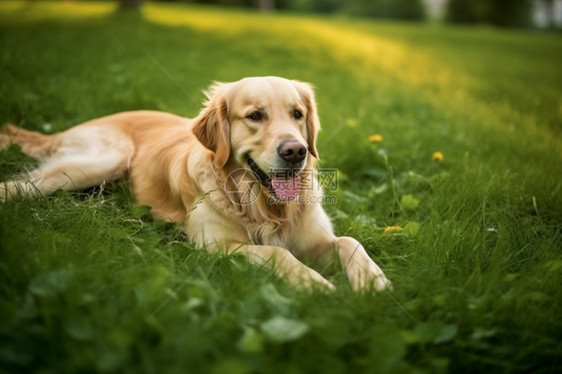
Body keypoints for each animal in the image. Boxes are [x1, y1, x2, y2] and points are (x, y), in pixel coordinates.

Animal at [2, 76, 390, 292]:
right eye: (255, 116)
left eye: (297, 114)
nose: (295, 151)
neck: (263, 207)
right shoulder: (213, 247)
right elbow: (275, 252)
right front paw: (314, 284)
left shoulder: (315, 239)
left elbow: (350, 241)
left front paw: (373, 282)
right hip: (103, 159)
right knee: (20, 185)